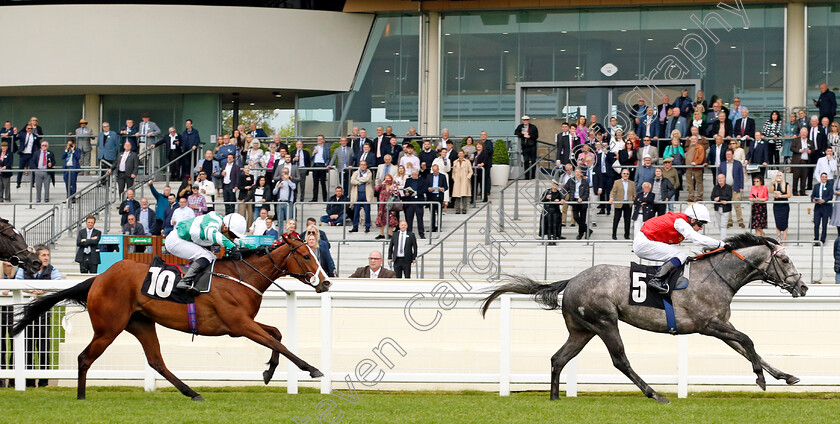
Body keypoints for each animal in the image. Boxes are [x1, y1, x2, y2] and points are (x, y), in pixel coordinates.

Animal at [11, 235, 332, 400]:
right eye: (305, 256)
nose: (326, 282)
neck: (241, 276)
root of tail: (99, 278)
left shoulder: (241, 324)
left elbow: (276, 334)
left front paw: (269, 372)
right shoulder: (239, 324)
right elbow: (278, 342)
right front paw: (312, 369)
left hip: (141, 323)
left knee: (156, 361)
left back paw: (192, 392)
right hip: (109, 327)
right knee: (84, 357)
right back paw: (80, 397)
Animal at [482, 235, 812, 404]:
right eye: (784, 260)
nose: (803, 287)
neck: (717, 276)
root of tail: (572, 280)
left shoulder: (720, 327)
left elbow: (747, 348)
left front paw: (785, 376)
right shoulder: (709, 325)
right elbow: (749, 341)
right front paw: (760, 378)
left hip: (581, 330)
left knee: (558, 358)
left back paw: (554, 398)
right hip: (605, 323)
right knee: (620, 360)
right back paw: (655, 393)